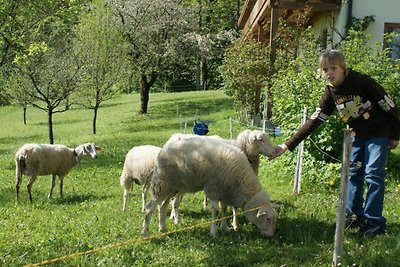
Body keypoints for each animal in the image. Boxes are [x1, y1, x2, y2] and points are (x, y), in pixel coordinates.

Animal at [139, 136, 276, 239]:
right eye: (268, 219)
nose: (271, 236)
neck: (240, 179)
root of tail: (162, 151)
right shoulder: (213, 189)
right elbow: (216, 210)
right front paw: (214, 232)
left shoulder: (223, 190)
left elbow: (224, 209)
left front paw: (225, 228)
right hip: (162, 184)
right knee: (149, 208)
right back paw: (145, 233)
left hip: (172, 188)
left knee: (162, 206)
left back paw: (163, 228)